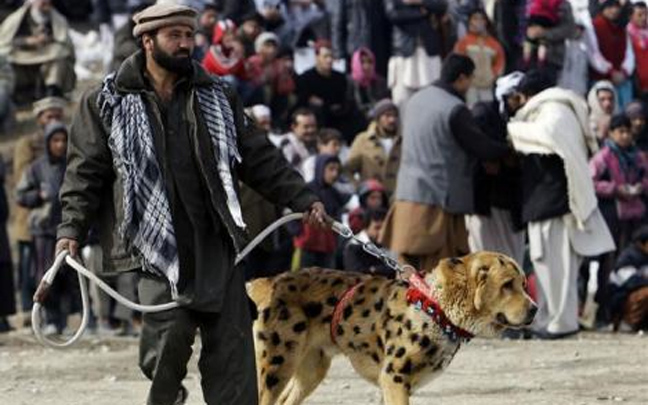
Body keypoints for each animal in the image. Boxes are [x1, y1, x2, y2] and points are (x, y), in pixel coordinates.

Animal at [248, 251, 536, 402]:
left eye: (523, 283)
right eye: (507, 285)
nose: (535, 309)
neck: (436, 307)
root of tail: (273, 281)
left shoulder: (393, 385)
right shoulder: (394, 378)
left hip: (310, 371)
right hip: (276, 369)